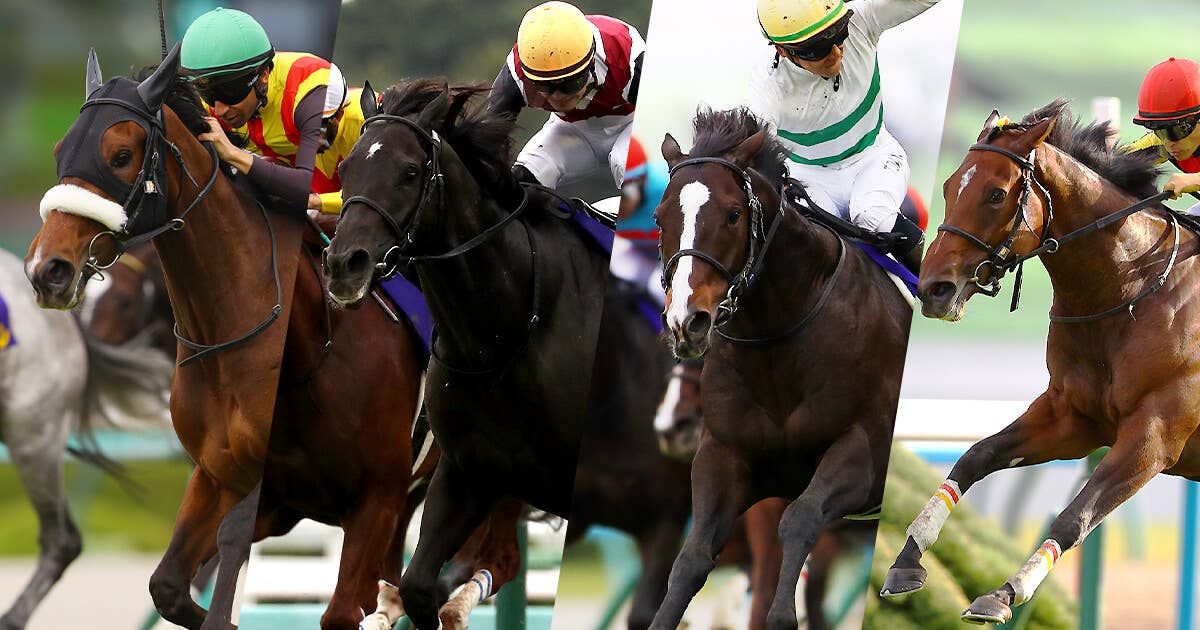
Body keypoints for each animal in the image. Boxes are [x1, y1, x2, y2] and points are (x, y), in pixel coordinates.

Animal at [25, 47, 431, 630]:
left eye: (120, 154)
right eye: (61, 150)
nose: (47, 270)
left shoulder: (370, 494)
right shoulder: (221, 476)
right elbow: (171, 585)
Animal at [649, 107, 911, 630]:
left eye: (733, 214)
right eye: (660, 217)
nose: (687, 321)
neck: (779, 336)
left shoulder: (864, 453)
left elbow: (802, 520)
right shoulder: (725, 455)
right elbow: (691, 559)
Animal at [880, 100, 1200, 624]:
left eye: (996, 193)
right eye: (949, 186)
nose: (933, 289)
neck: (1133, 290)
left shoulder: (1154, 435)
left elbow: (1075, 516)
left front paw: (1004, 592)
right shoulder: (1072, 418)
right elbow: (976, 457)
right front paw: (907, 558)